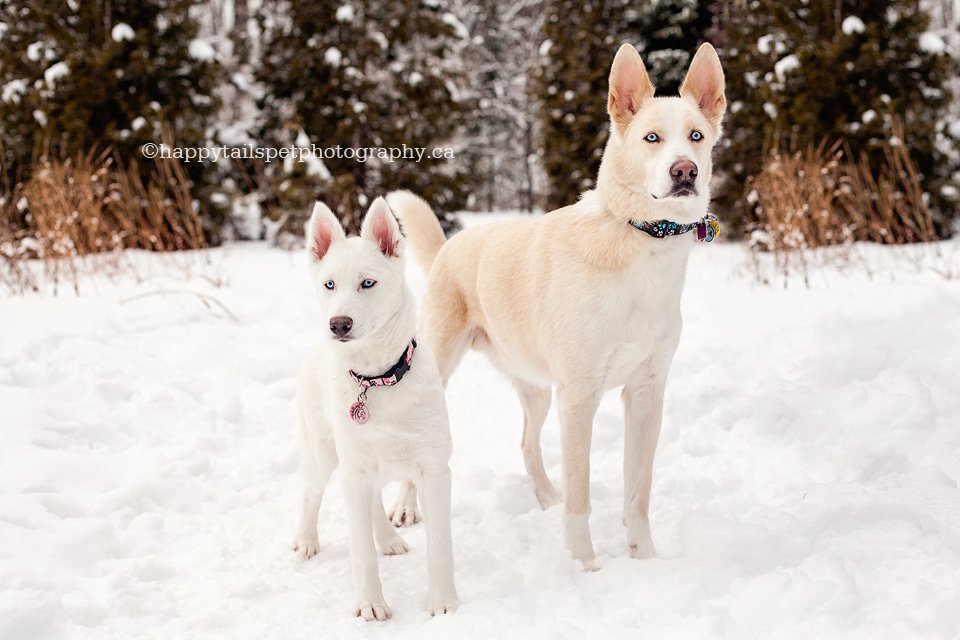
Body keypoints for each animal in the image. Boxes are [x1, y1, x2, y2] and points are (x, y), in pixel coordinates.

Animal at [290, 199, 460, 620]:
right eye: (329, 284)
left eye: (368, 283)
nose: (338, 323)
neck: (376, 380)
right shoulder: (353, 473)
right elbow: (360, 551)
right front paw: (370, 603)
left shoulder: (434, 470)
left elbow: (440, 546)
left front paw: (443, 603)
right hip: (324, 454)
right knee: (311, 491)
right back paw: (305, 539)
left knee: (373, 503)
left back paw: (388, 537)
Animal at [386, 42, 724, 568]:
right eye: (651, 138)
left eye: (696, 136)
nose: (684, 171)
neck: (642, 242)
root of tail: (449, 248)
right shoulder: (580, 396)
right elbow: (582, 496)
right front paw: (584, 565)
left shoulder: (647, 393)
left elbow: (639, 492)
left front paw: (644, 558)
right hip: (439, 367)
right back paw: (406, 506)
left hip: (539, 387)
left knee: (527, 443)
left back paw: (546, 499)